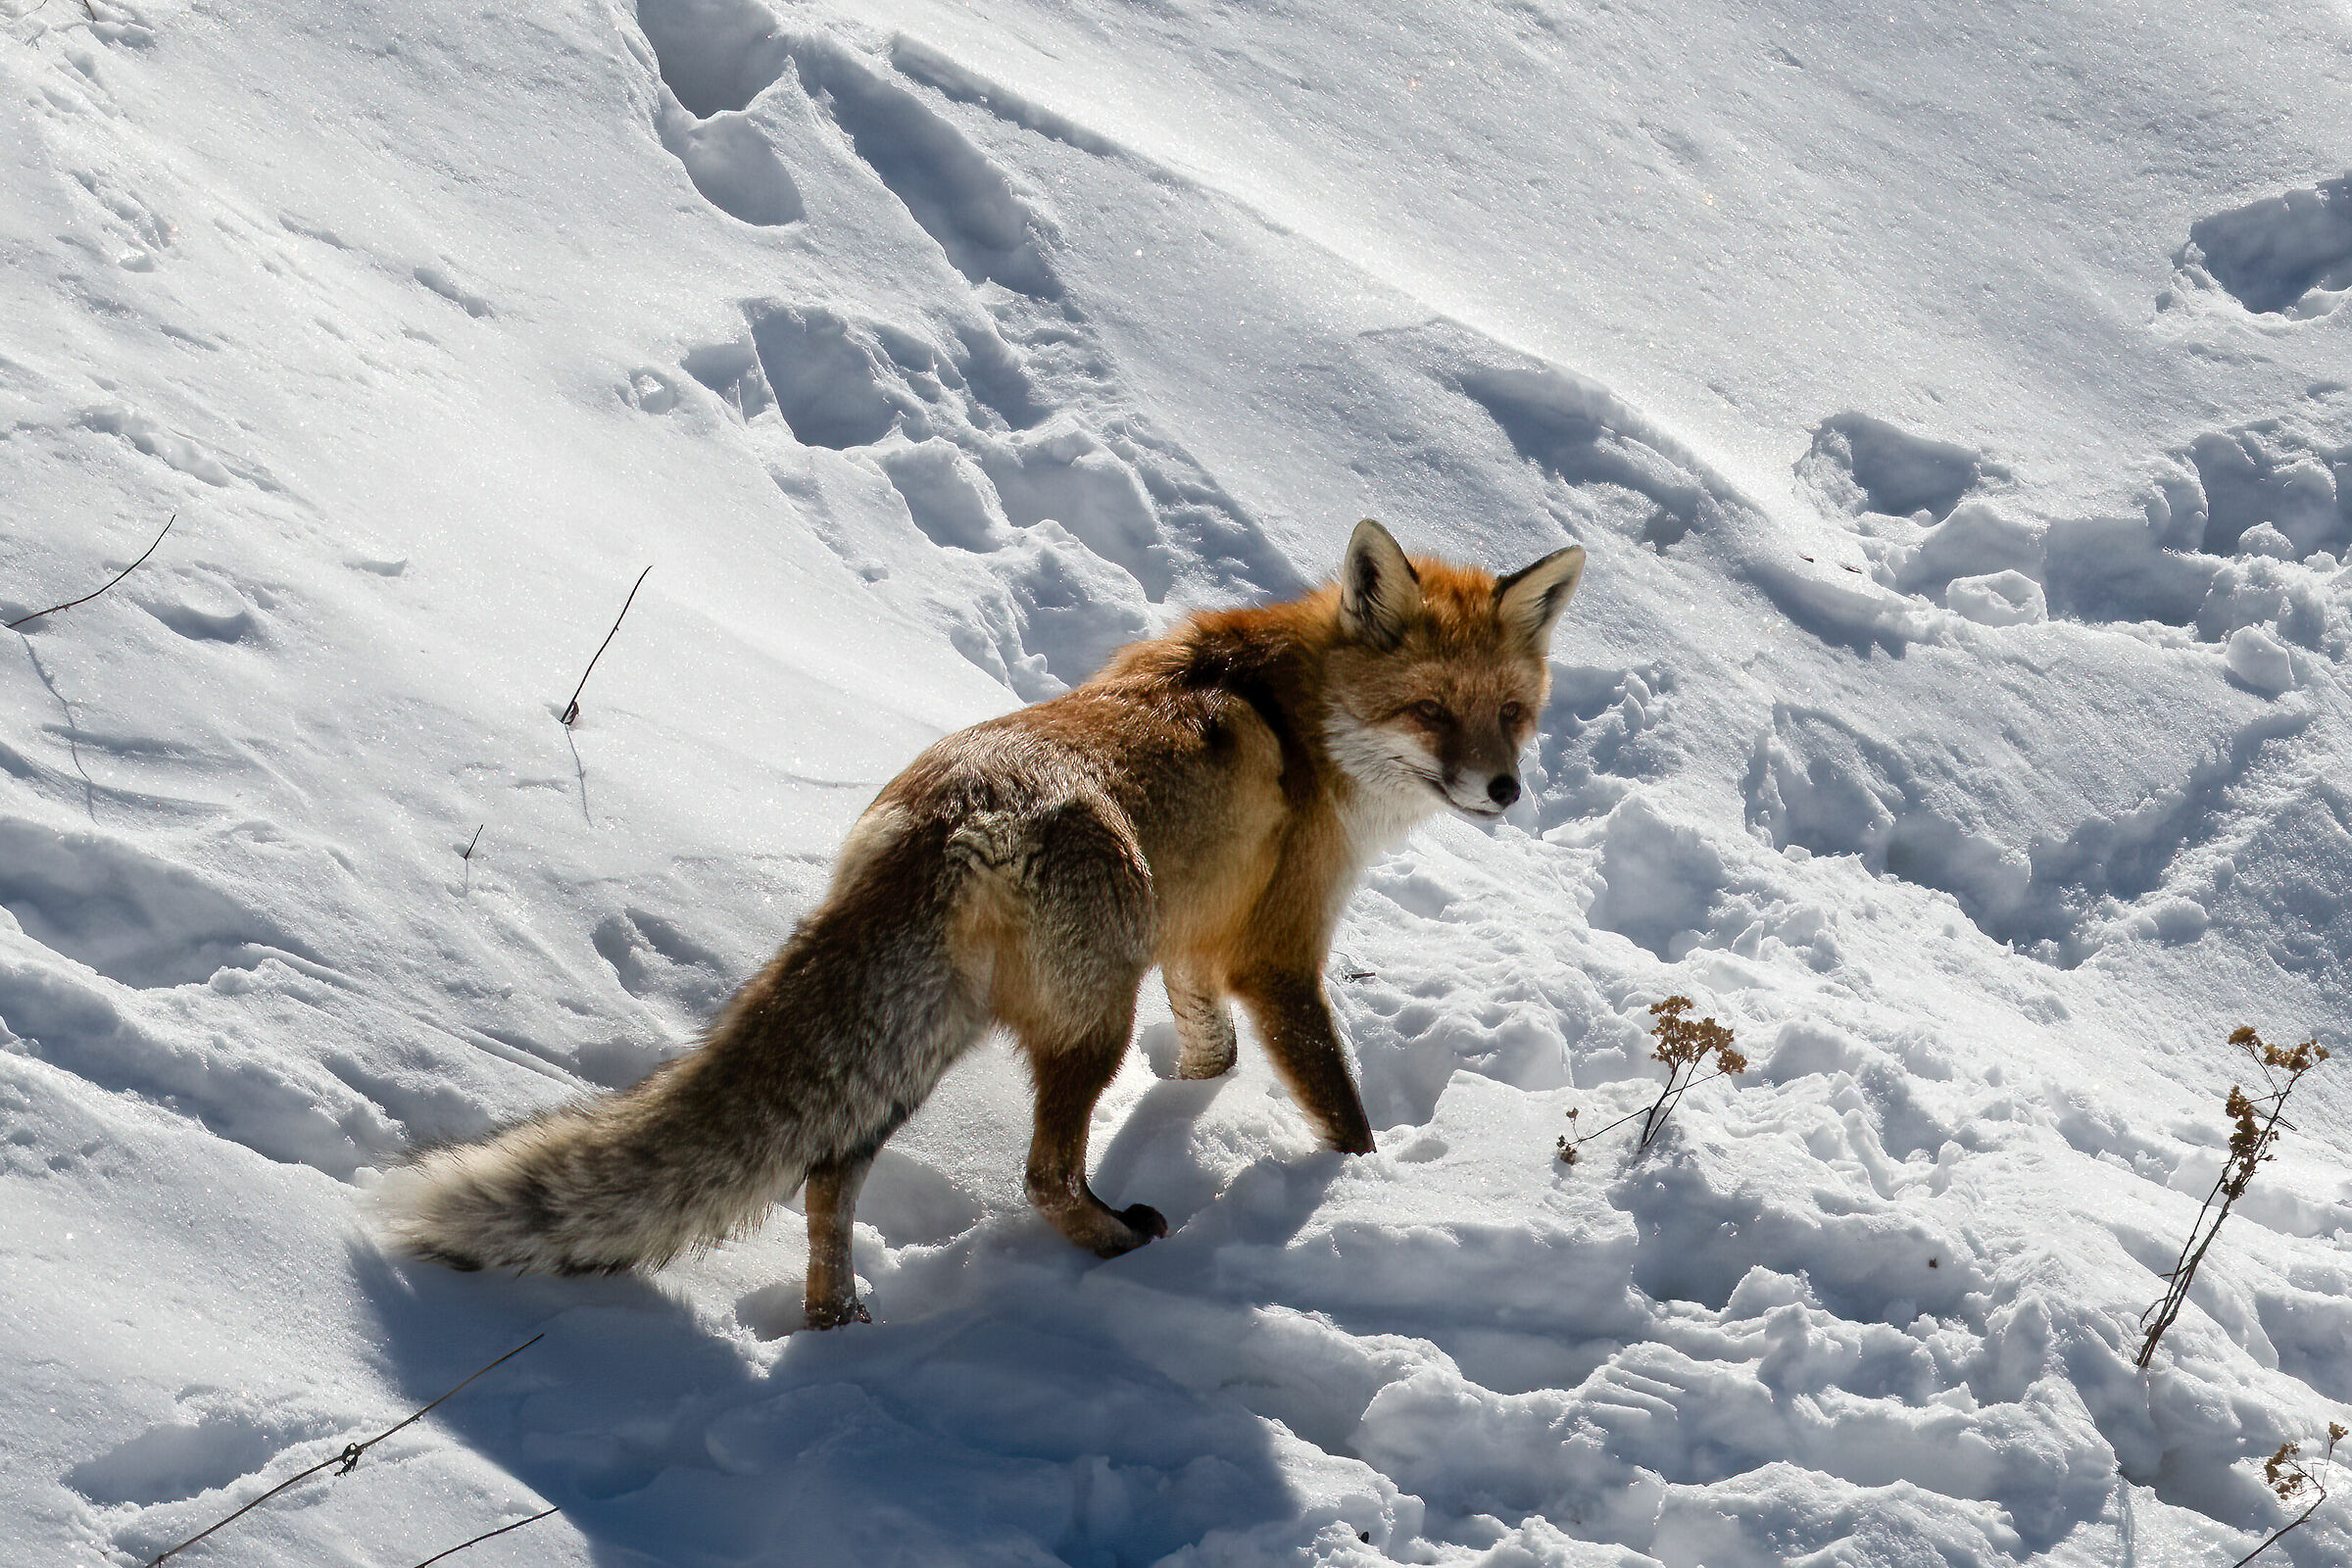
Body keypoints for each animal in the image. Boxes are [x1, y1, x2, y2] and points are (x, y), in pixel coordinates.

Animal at [378, 520, 1586, 1328]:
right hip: (1087, 1021)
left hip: (922, 1040)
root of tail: (954, 809)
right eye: (1430, 712)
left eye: (1510, 714)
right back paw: (1114, 1245)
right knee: (1041, 1176)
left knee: (828, 1175)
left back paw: (835, 1325)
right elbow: (1338, 1107)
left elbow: (1210, 1056)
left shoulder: (1195, 946)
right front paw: (1363, 1186)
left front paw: (1195, 1105)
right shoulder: (1274, 954)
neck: (1305, 721)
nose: (1505, 789)